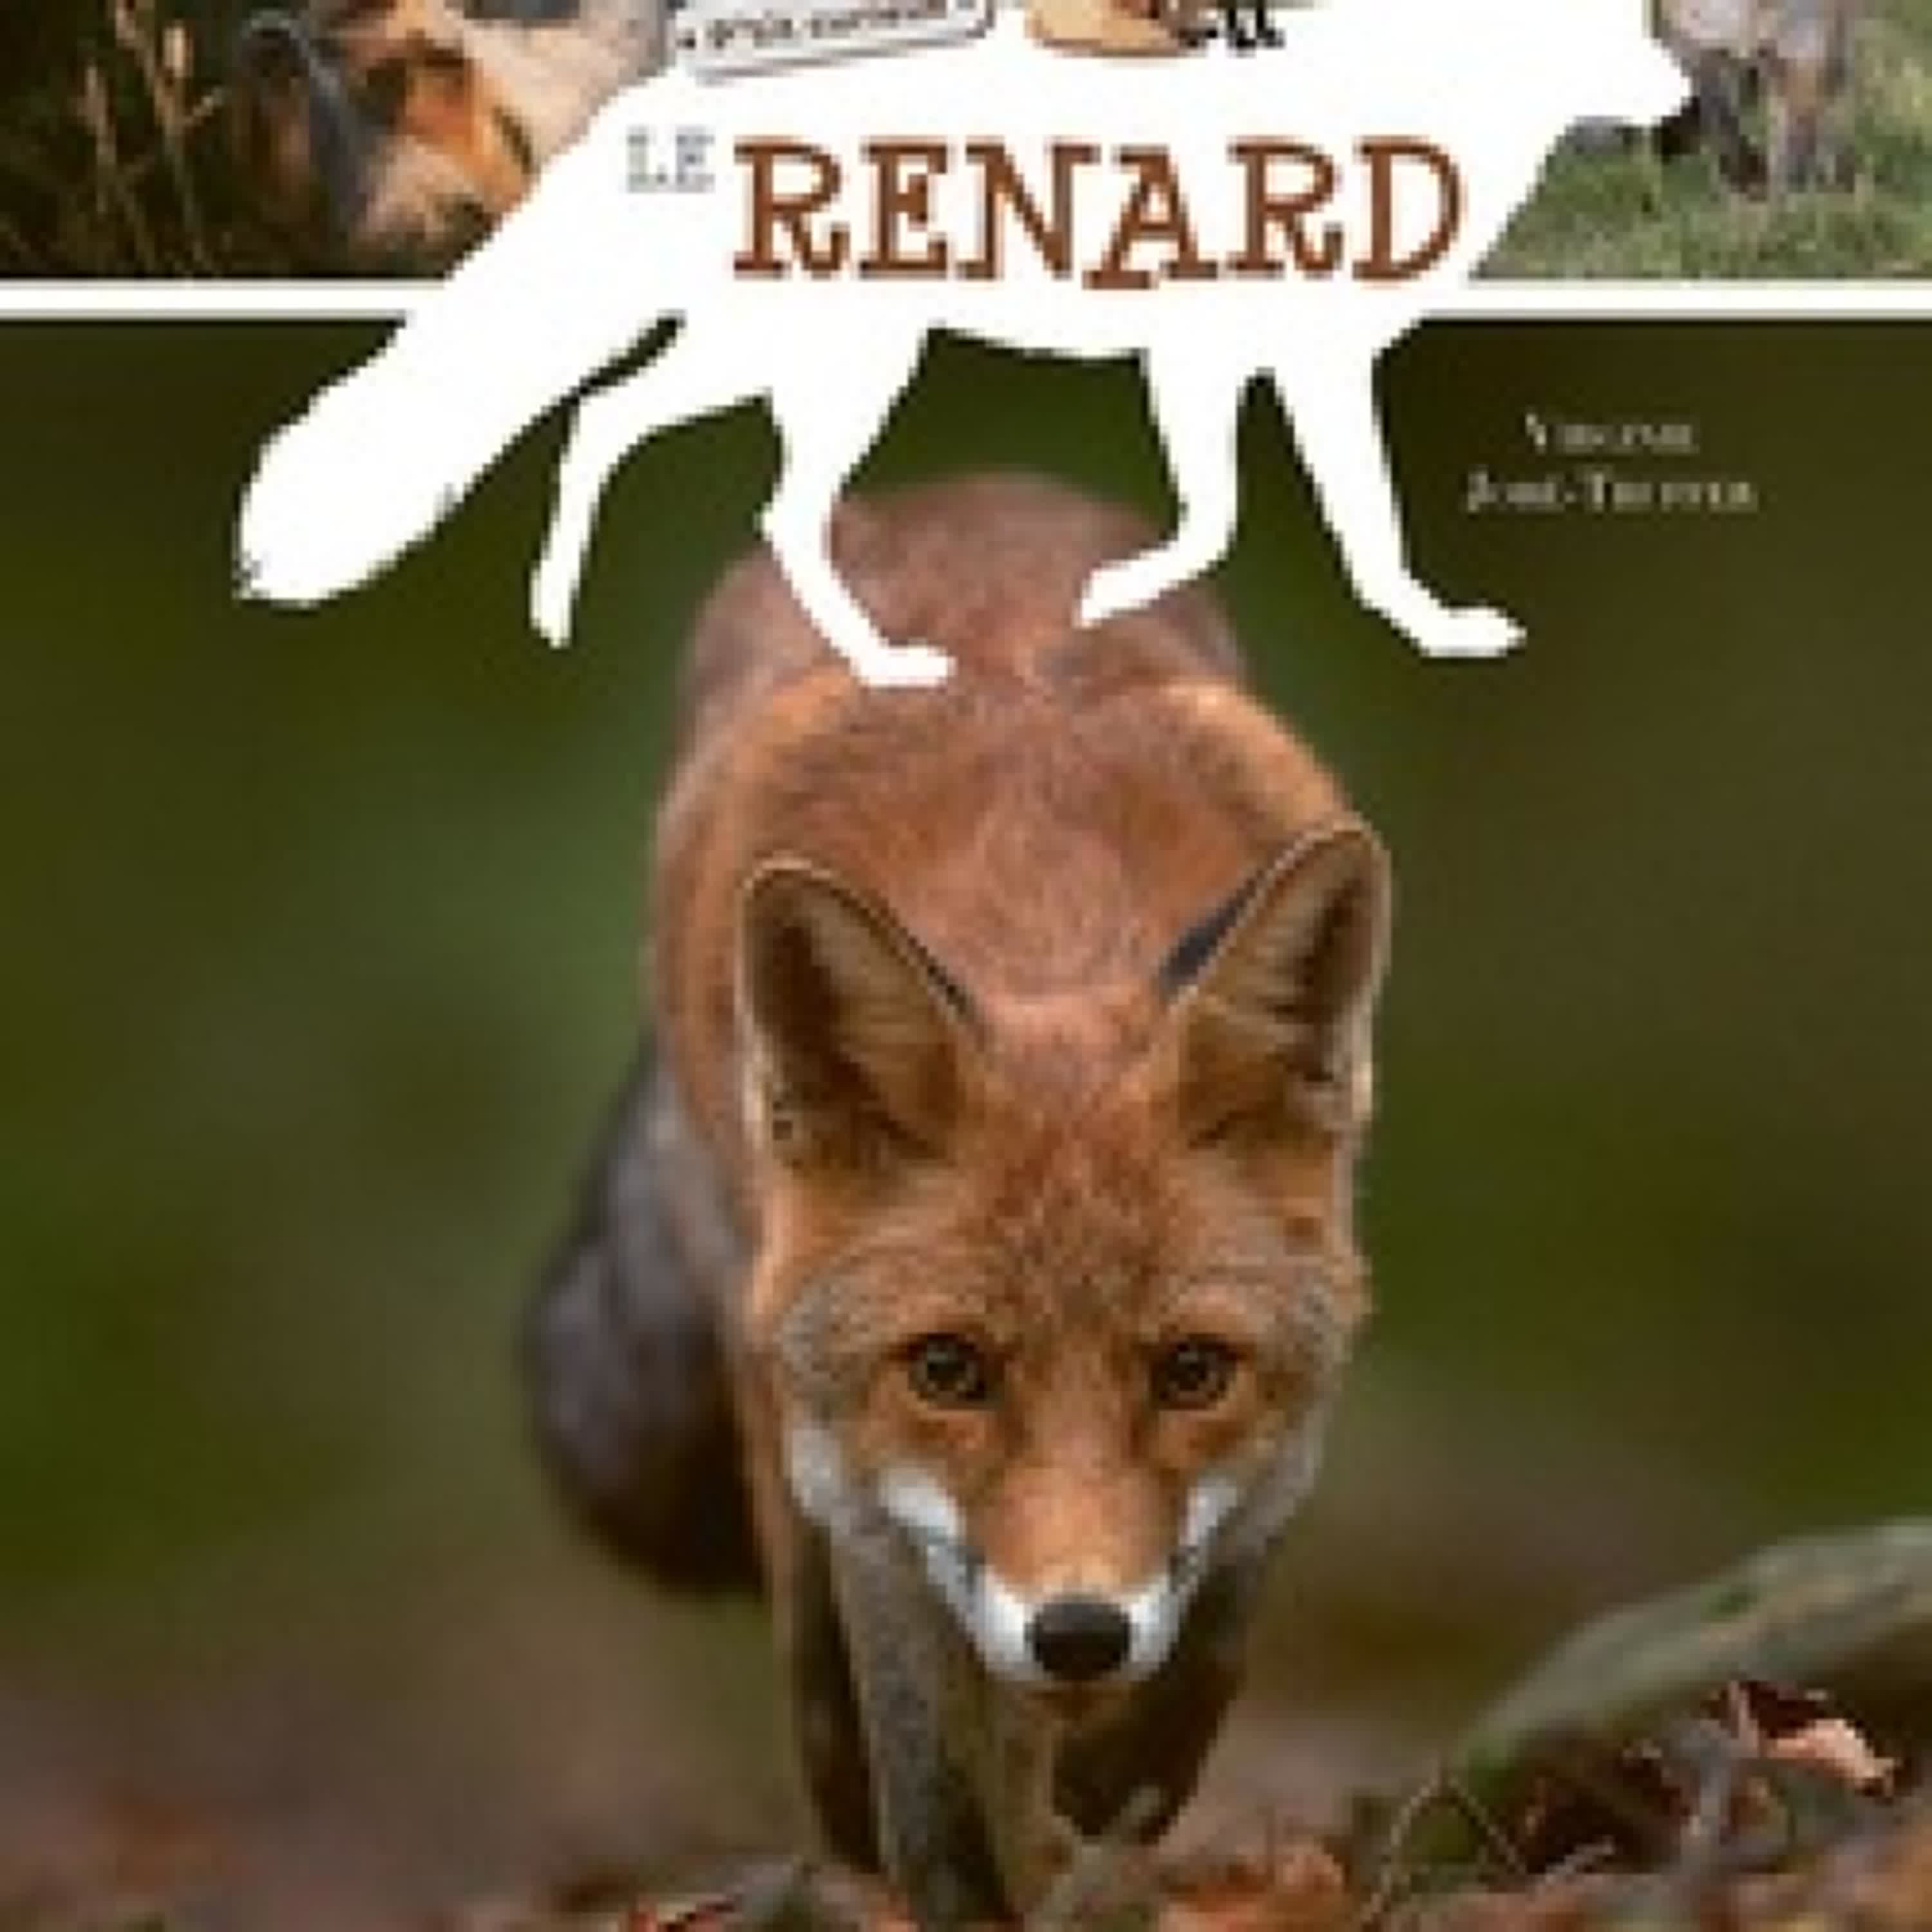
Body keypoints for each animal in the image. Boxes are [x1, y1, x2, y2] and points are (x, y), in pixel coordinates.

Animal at [522, 473, 1391, 1927]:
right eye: (947, 1370)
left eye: (1194, 1371)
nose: (1081, 1633)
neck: (1041, 911)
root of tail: (957, 491)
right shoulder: (869, 1500)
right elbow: (931, 1793)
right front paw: (987, 1871)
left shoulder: (1280, 1461)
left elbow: (1192, 1683)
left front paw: (1106, 1819)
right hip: (762, 1361)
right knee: (831, 1712)